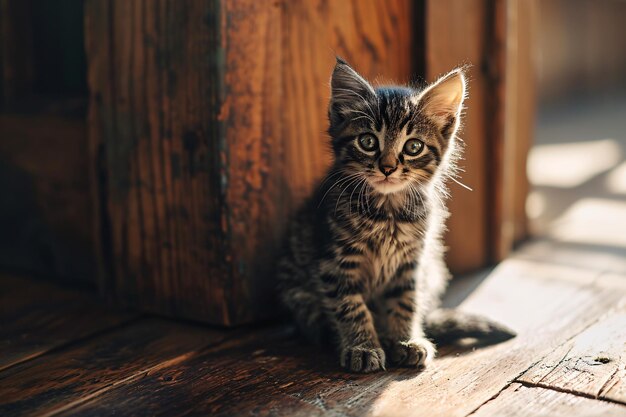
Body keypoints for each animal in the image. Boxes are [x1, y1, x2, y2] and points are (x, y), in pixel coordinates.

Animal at [276, 57, 512, 370]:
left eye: (413, 147)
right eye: (367, 142)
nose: (387, 168)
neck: (387, 213)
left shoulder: (412, 262)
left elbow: (405, 302)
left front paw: (405, 339)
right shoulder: (335, 262)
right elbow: (350, 306)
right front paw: (363, 347)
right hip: (298, 290)